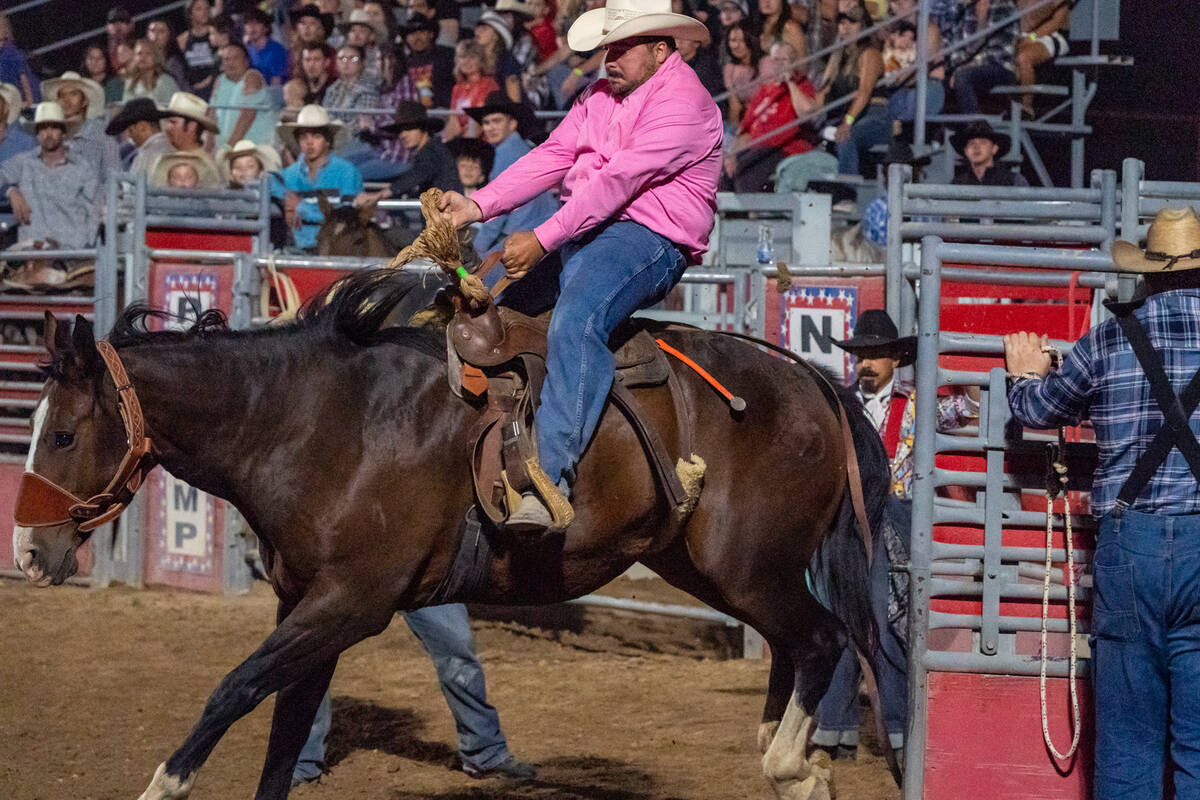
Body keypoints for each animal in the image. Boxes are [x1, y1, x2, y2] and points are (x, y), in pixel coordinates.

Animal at [11, 271, 892, 800]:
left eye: (62, 434)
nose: (27, 550)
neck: (315, 421)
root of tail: (813, 382)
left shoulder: (348, 605)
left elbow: (233, 688)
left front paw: (164, 783)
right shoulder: (307, 609)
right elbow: (283, 730)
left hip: (746, 564)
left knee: (821, 638)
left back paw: (793, 765)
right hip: (705, 566)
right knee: (795, 643)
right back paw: (790, 753)